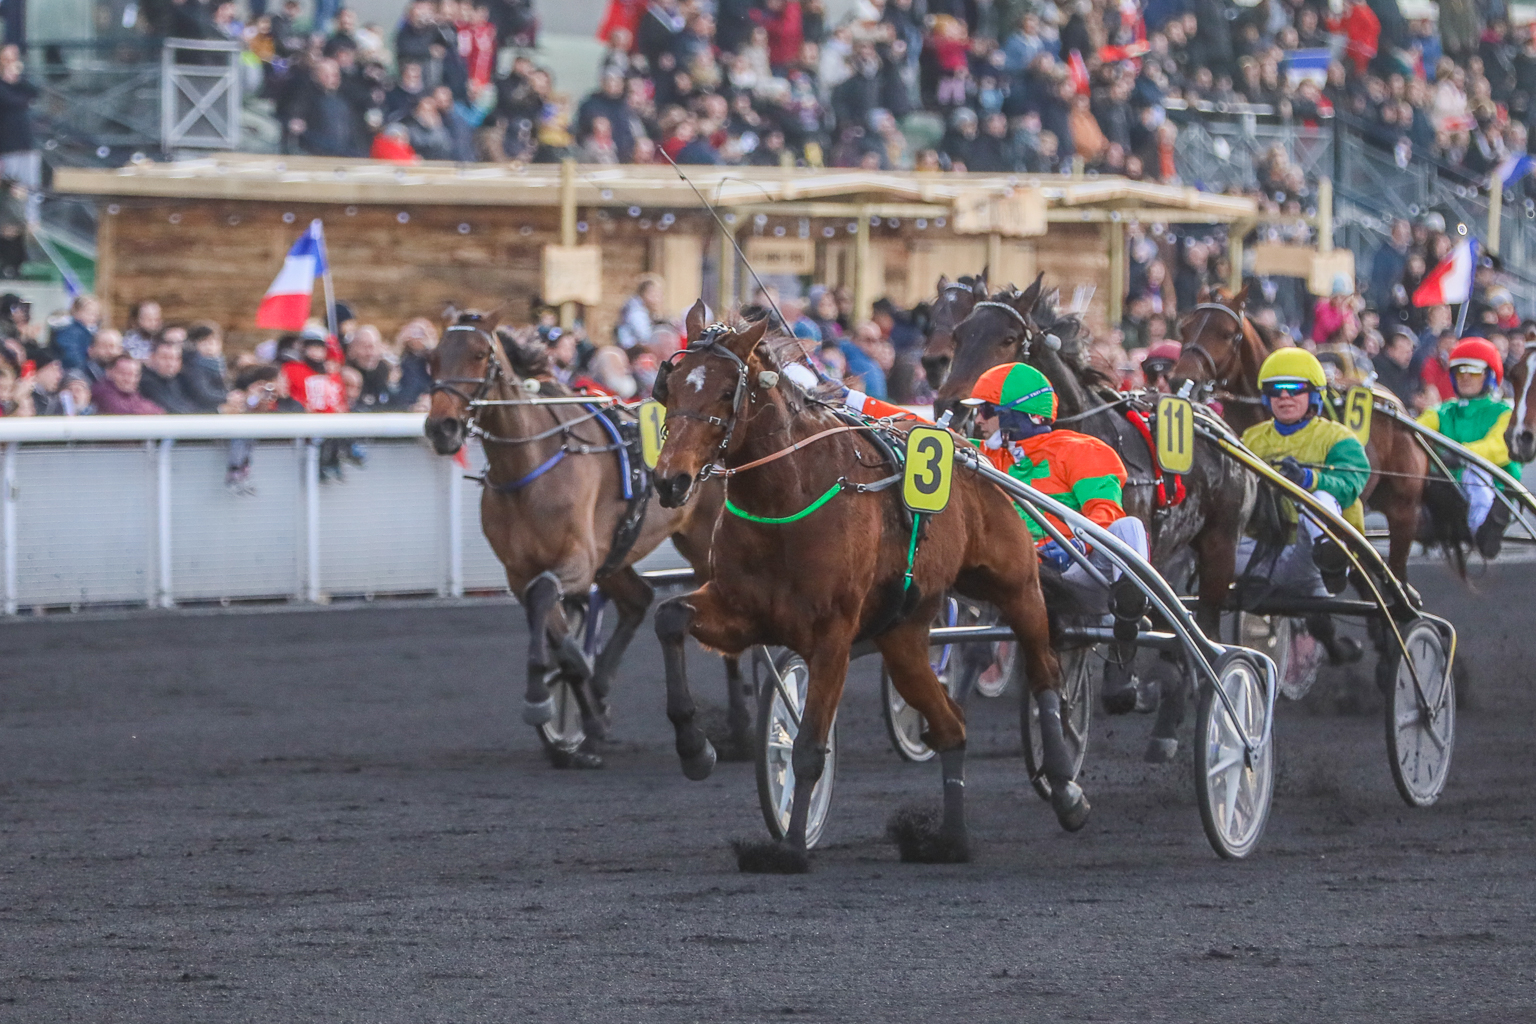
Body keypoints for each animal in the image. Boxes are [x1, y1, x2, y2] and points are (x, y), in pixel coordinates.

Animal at [423, 313, 746, 767]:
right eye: (433, 358)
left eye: (480, 354)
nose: (442, 427)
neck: (530, 465)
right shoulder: (521, 574)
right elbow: (558, 635)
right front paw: (586, 720)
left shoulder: (576, 561)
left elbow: (546, 599)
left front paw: (544, 698)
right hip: (616, 555)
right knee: (638, 599)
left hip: (701, 546)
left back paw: (739, 731)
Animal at [654, 300, 1087, 872]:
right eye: (671, 385)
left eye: (728, 391)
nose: (669, 480)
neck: (787, 497)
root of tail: (972, 448)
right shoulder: (740, 610)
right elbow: (670, 619)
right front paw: (695, 749)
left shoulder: (832, 635)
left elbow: (809, 747)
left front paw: (791, 847)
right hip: (902, 637)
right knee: (952, 726)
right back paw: (950, 839)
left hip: (1018, 588)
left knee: (1044, 674)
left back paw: (1065, 787)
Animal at [927, 276, 1253, 758]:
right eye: (961, 333)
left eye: (1009, 338)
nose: (952, 403)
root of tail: (1215, 421)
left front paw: (1122, 686)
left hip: (1219, 545)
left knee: (1200, 630)